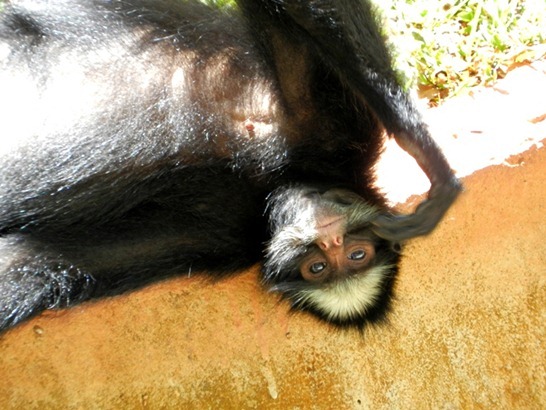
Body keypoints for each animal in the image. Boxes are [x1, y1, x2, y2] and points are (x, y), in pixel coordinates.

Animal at [0, 0, 460, 332]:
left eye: (353, 256)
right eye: (319, 265)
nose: (329, 240)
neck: (270, 183)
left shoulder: (211, 237)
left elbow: (26, 262)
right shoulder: (339, 132)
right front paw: (434, 166)